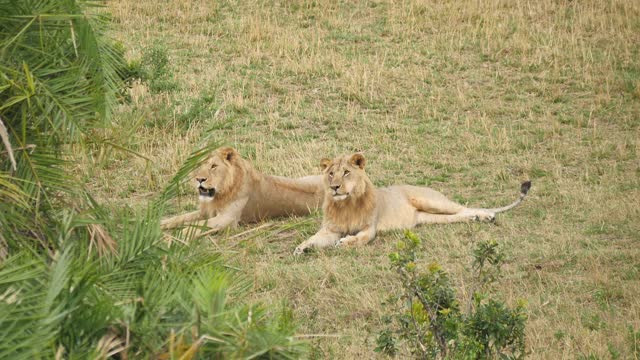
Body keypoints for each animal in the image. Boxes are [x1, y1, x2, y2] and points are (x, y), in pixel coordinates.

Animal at [160, 147, 324, 235]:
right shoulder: (204, 212)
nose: (199, 179)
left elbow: (195, 225)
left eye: (213, 166)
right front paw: (159, 223)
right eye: (198, 166)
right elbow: (179, 218)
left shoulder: (226, 220)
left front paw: (176, 235)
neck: (220, 194)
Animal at [294, 153, 528, 255]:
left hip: (432, 201)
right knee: (458, 215)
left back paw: (487, 215)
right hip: (430, 218)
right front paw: (302, 247)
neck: (345, 205)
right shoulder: (331, 229)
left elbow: (360, 238)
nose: (334, 187)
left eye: (346, 173)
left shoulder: (370, 228)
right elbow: (315, 238)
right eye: (330, 173)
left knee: (464, 207)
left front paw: (345, 243)